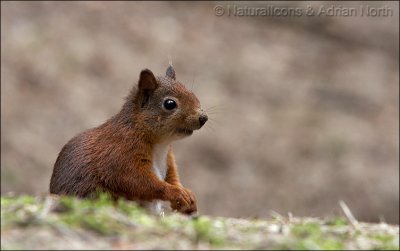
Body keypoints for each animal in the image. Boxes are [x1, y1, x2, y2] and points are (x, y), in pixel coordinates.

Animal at [48, 65, 208, 215]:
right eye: (170, 104)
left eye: (192, 93)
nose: (203, 117)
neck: (160, 144)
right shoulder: (121, 154)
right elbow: (137, 181)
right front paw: (177, 193)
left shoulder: (168, 159)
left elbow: (172, 176)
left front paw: (187, 195)